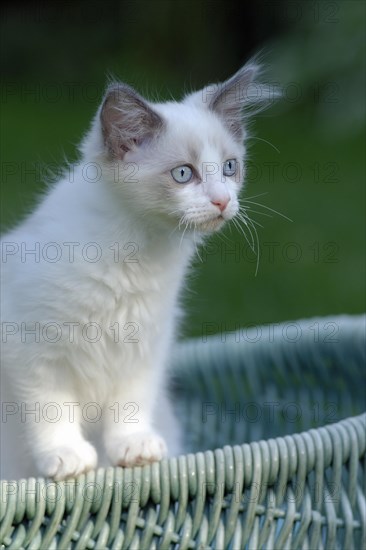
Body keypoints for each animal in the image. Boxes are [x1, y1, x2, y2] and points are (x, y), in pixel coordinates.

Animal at [0, 62, 268, 480]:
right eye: (183, 174)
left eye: (229, 168)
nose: (223, 201)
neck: (138, 254)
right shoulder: (31, 348)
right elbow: (51, 410)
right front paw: (68, 457)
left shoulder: (144, 344)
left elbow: (130, 406)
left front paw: (133, 449)